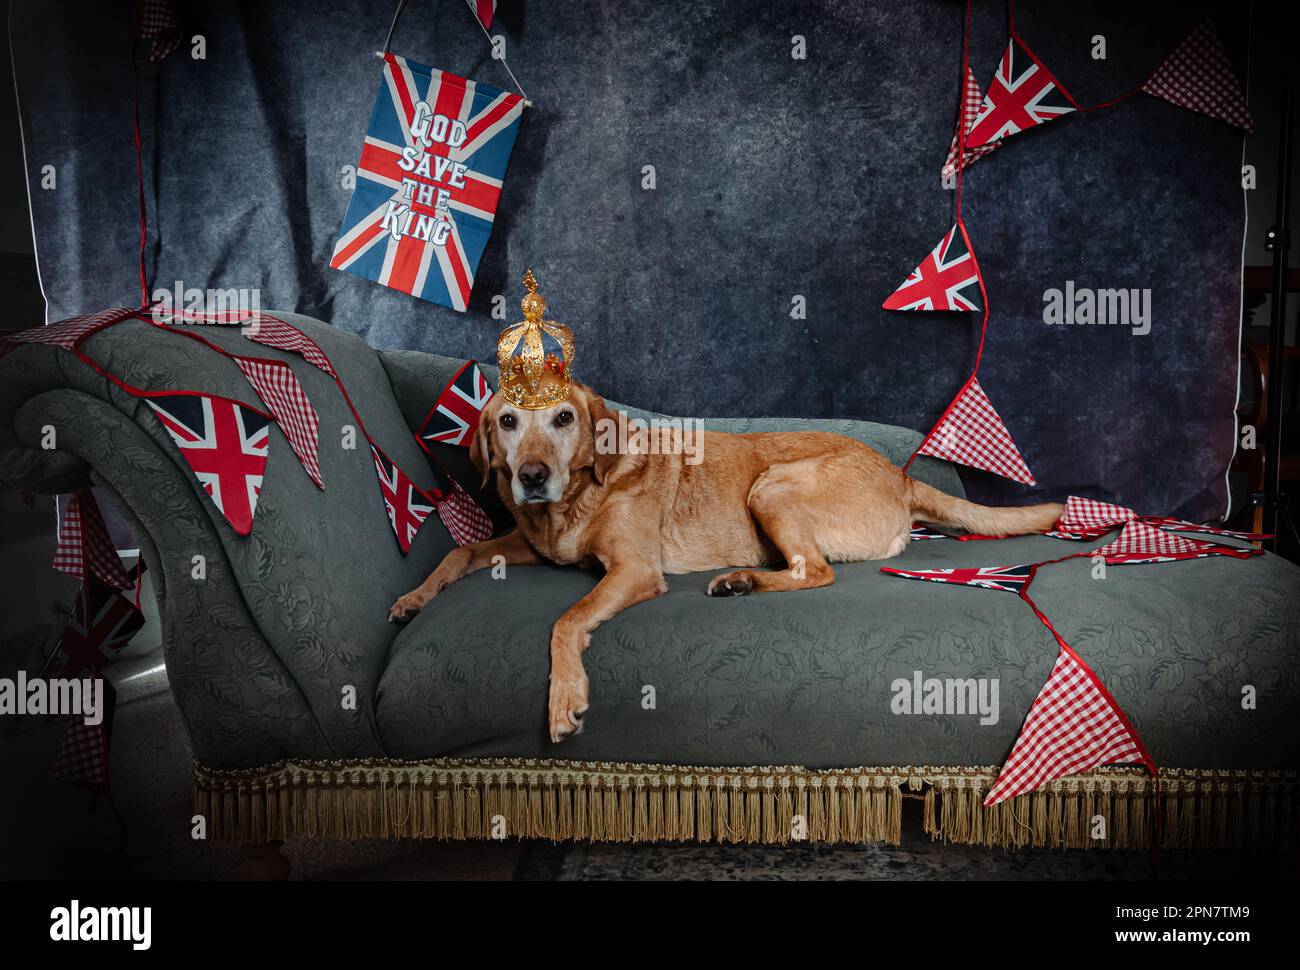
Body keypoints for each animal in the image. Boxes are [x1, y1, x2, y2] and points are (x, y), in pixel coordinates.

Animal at [390, 384, 1060, 738]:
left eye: (563, 418)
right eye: (506, 421)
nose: (531, 477)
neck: (574, 500)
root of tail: (899, 474)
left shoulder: (632, 571)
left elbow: (566, 619)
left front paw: (565, 697)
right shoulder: (525, 545)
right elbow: (461, 550)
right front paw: (414, 598)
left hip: (772, 485)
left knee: (815, 571)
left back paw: (741, 580)